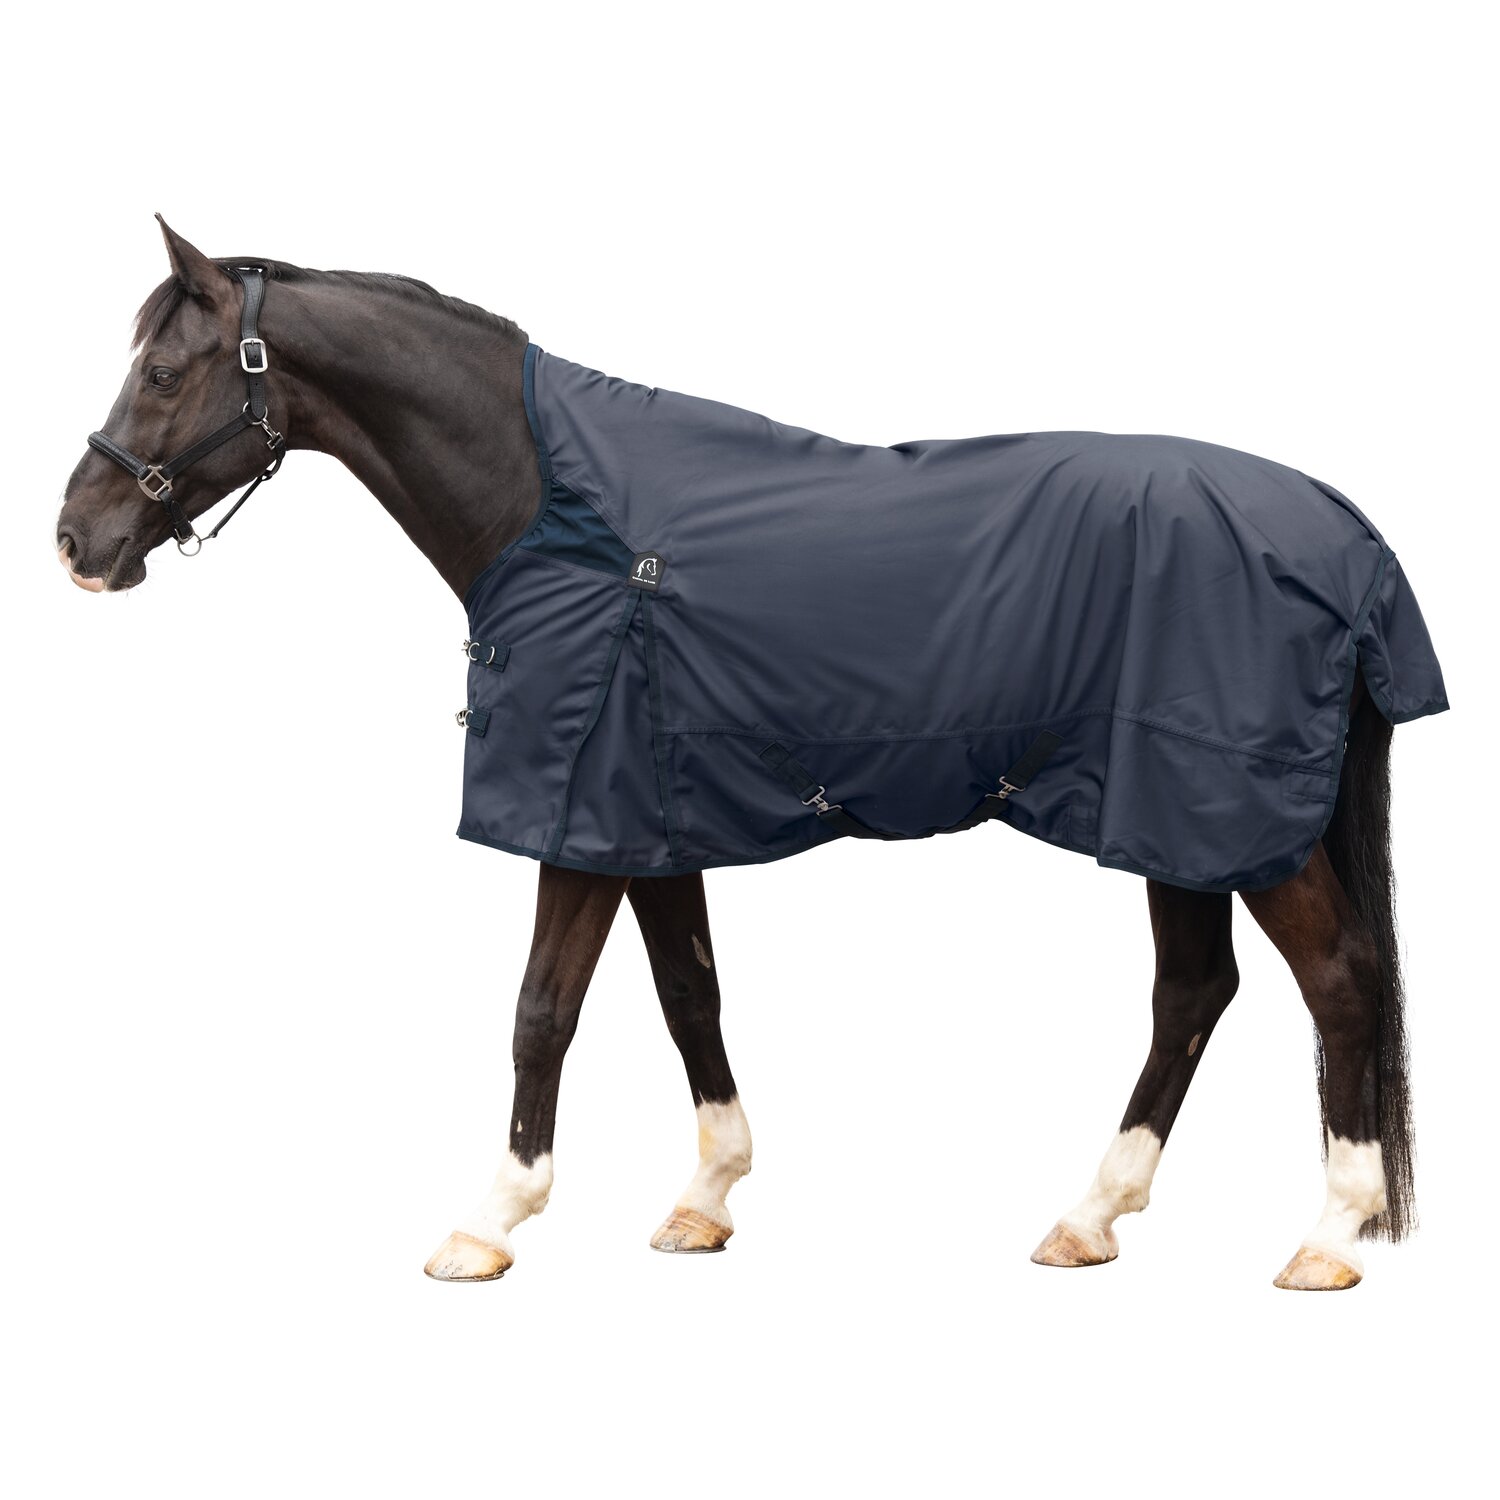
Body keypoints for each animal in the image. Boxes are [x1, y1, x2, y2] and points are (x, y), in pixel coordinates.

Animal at [56, 219, 1447, 1291]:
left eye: (166, 370)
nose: (77, 538)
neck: (552, 507)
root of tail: (1342, 531)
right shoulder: (644, 814)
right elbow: (689, 995)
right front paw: (706, 1199)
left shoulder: (578, 813)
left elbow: (542, 1010)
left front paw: (489, 1221)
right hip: (1174, 820)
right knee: (1193, 993)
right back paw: (1088, 1218)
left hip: (1221, 812)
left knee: (1339, 980)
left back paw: (1329, 1237)